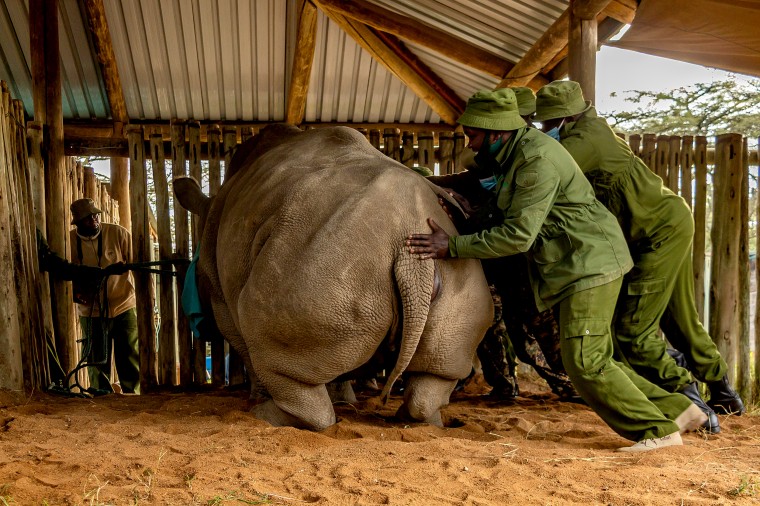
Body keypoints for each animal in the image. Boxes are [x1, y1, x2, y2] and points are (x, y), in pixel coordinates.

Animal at [173, 124, 492, 428]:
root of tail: (409, 246)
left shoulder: (219, 295)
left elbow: (244, 347)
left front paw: (258, 396)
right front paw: (344, 400)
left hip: (322, 265)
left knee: (268, 340)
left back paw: (263, 416)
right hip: (425, 263)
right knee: (439, 368)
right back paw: (425, 421)